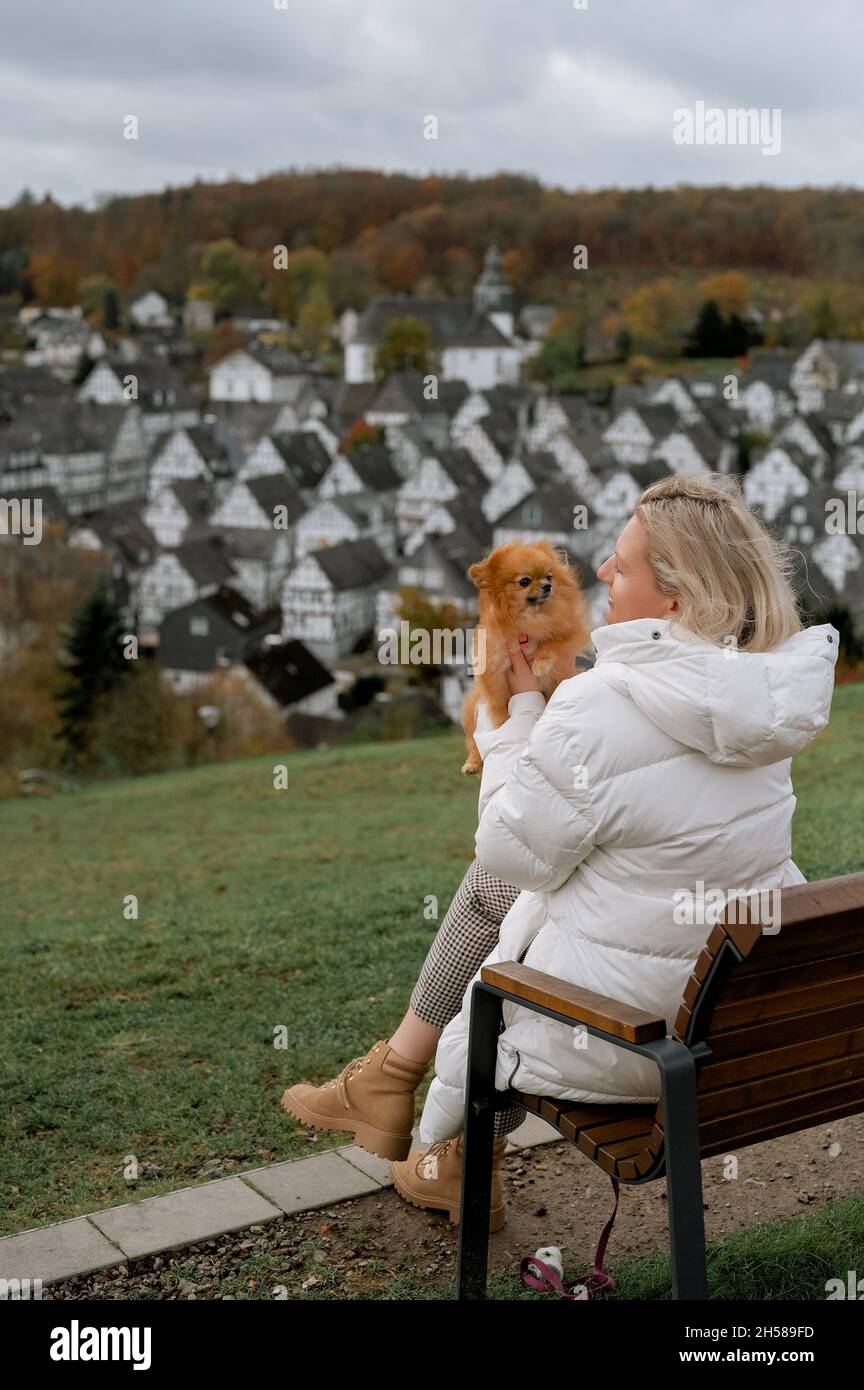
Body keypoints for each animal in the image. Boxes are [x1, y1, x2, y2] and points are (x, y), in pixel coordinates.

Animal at [463, 539, 591, 778]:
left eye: (549, 577)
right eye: (524, 581)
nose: (548, 586)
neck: (529, 620)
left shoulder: (571, 633)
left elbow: (553, 642)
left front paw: (541, 664)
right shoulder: (492, 669)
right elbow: (497, 704)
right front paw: (502, 724)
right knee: (473, 742)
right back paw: (472, 763)